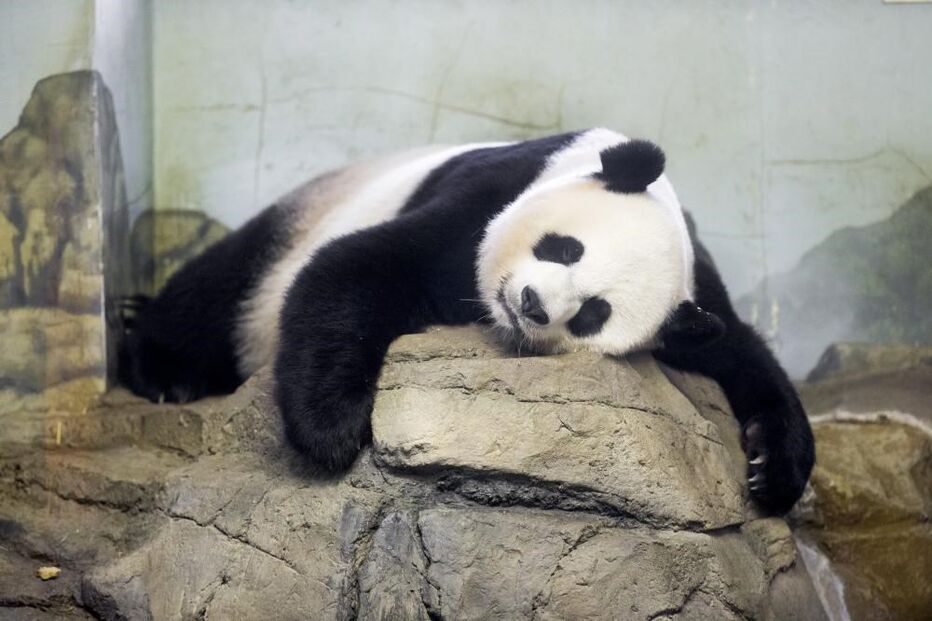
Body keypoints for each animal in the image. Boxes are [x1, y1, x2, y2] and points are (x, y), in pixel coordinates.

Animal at [120, 128, 815, 514]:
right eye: (566, 248)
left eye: (594, 314)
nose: (532, 304)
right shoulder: (492, 190)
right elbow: (357, 266)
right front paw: (334, 430)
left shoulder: (695, 292)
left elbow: (742, 352)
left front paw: (772, 471)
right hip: (292, 230)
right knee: (220, 289)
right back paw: (161, 369)